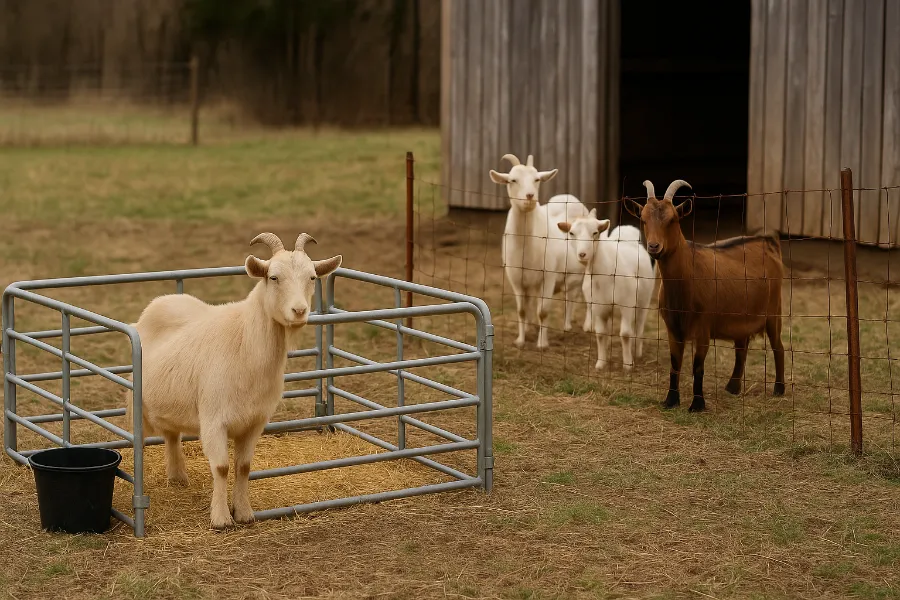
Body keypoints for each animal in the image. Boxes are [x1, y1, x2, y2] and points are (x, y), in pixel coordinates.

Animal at [125, 232, 342, 528]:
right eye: (273, 277)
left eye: (311, 277)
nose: (299, 310)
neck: (244, 341)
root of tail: (160, 301)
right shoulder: (214, 419)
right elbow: (221, 467)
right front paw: (220, 519)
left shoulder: (255, 422)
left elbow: (243, 467)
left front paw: (244, 512)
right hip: (138, 406)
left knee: (171, 434)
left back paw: (178, 477)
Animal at [489, 153, 589, 349]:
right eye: (512, 180)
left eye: (537, 179)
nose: (530, 196)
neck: (527, 244)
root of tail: (569, 197)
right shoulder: (516, 278)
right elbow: (521, 310)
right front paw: (520, 340)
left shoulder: (548, 276)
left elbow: (543, 311)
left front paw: (542, 344)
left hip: (577, 272)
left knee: (572, 297)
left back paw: (570, 326)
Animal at [558, 209, 656, 371]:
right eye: (571, 233)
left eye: (595, 232)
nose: (582, 254)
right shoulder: (598, 307)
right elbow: (600, 334)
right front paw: (601, 363)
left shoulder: (627, 304)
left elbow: (625, 334)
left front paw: (628, 364)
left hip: (644, 301)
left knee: (639, 326)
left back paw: (637, 352)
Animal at [624, 180, 785, 412]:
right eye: (643, 219)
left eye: (673, 219)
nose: (654, 247)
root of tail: (768, 243)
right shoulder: (672, 328)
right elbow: (675, 365)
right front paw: (670, 400)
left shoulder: (703, 328)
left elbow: (698, 366)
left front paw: (697, 405)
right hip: (742, 317)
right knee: (742, 347)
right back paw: (733, 387)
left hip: (774, 312)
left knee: (778, 347)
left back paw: (779, 389)